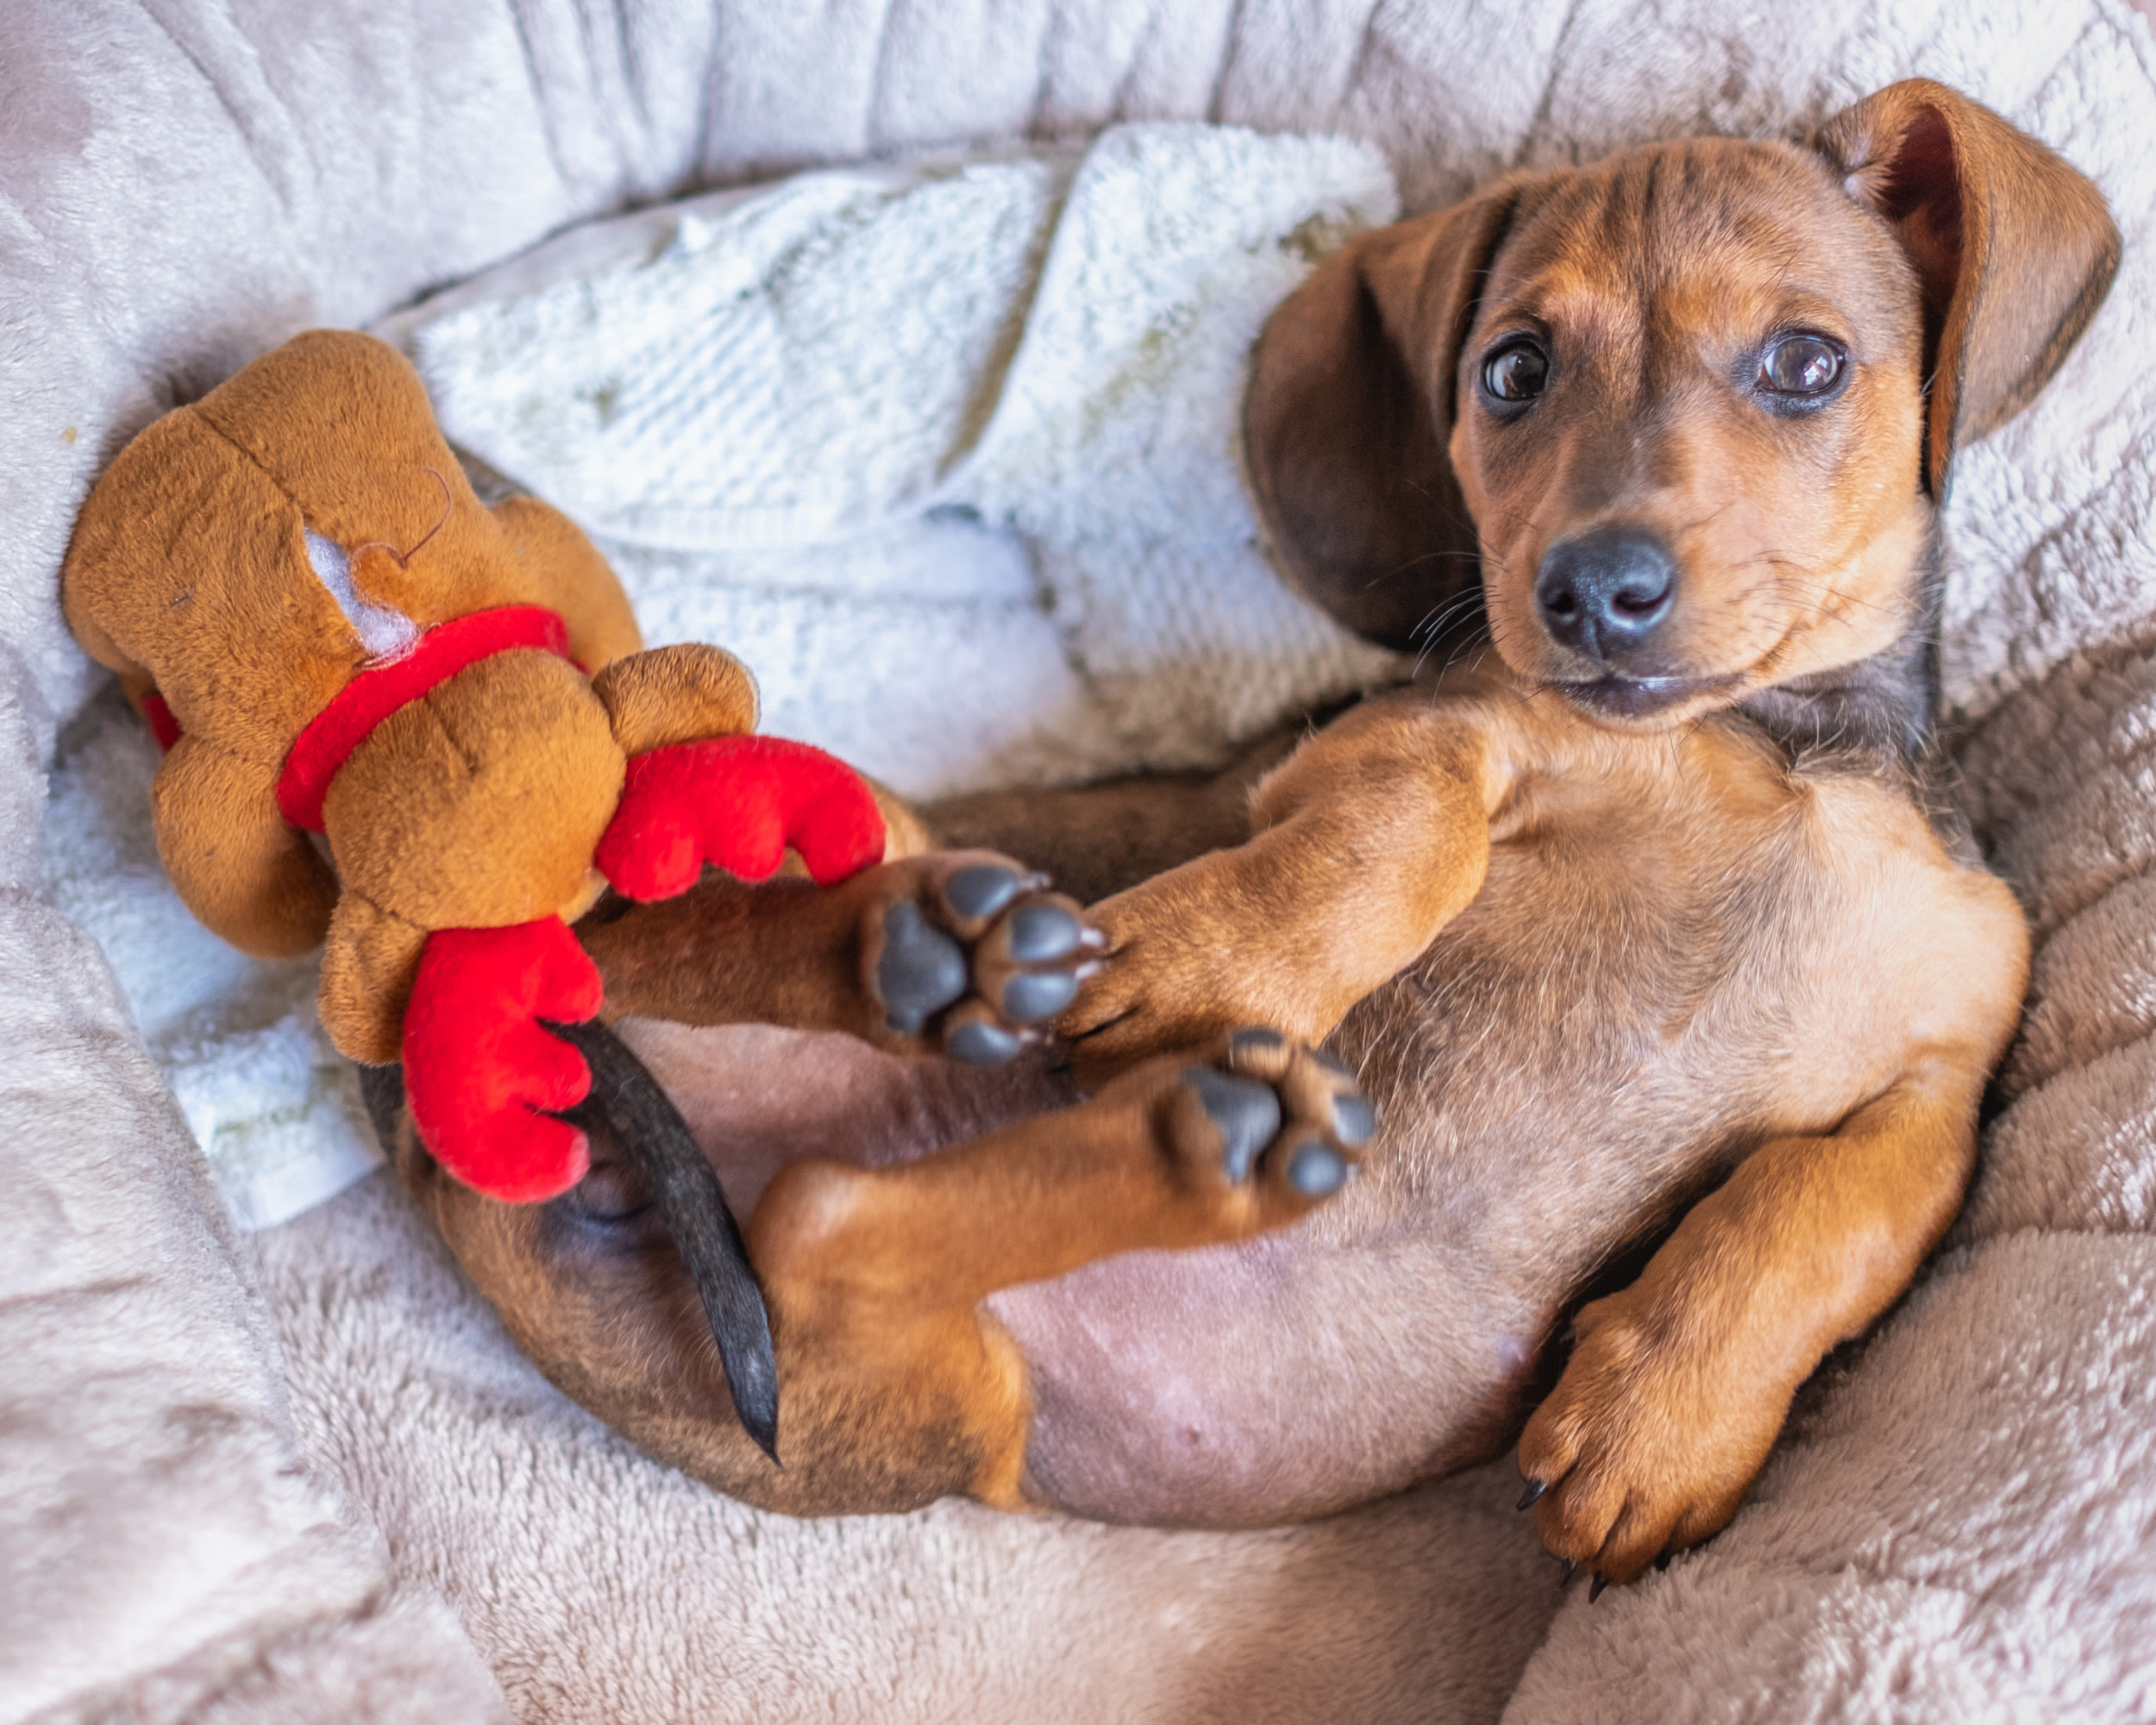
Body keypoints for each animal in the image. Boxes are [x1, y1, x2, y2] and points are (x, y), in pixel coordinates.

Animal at [367, 84, 2104, 1587]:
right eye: (1513, 371)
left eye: (1807, 364)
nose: (1593, 595)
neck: (1786, 746)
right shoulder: (1408, 739)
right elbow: (1409, 834)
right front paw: (1223, 962)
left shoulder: (1950, 1076)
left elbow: (1832, 1211)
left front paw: (1665, 1424)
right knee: (779, 1120)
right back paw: (1030, 1007)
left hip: (929, 1396)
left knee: (820, 1218)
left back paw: (1116, 1083)